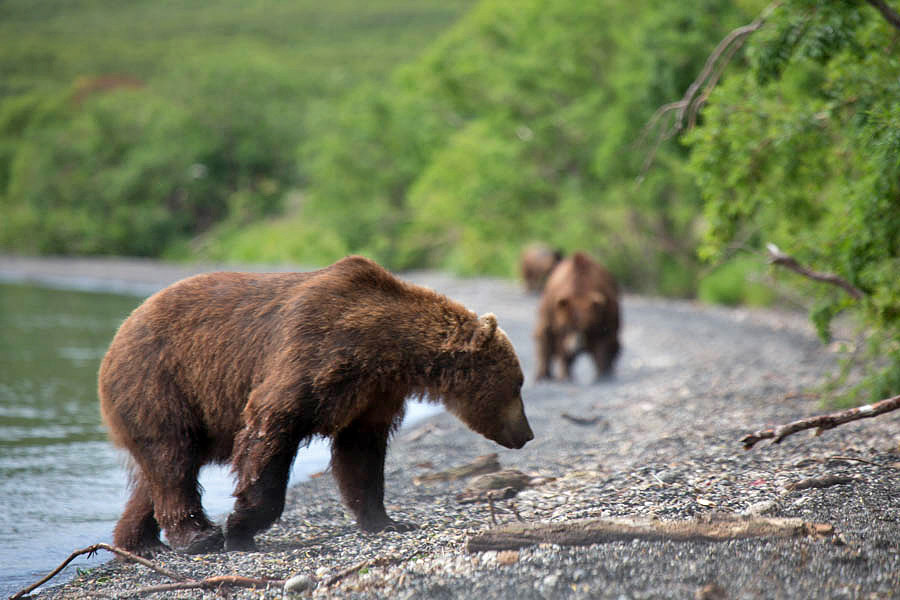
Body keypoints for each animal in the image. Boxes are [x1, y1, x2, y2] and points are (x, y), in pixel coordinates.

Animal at [100, 253, 536, 552]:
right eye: (517, 384)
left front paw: (387, 521)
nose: (528, 434)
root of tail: (118, 332)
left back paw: (138, 542)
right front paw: (241, 527)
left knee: (160, 472)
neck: (389, 349)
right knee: (172, 459)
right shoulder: (316, 352)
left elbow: (360, 457)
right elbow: (270, 428)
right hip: (160, 381)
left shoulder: (371, 395)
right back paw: (197, 536)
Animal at [536, 251, 620, 382]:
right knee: (545, 339)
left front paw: (603, 374)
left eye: (586, 327)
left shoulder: (604, 313)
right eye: (567, 326)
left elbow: (604, 341)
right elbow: (560, 345)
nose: (576, 347)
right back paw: (543, 375)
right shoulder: (555, 314)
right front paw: (566, 374)